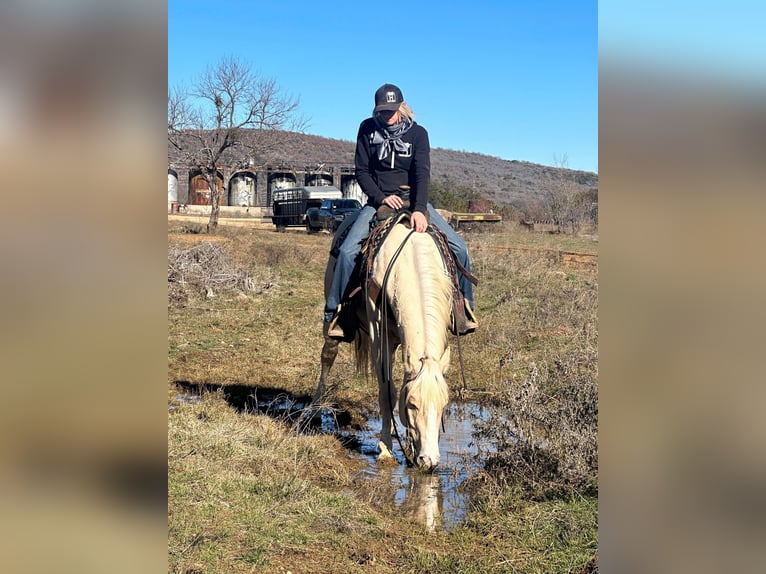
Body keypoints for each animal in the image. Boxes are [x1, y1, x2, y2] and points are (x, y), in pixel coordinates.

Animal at [314, 218, 452, 474]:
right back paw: (316, 409)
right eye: (412, 405)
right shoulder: (379, 335)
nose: (428, 461)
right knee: (328, 355)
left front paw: (409, 446)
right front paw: (386, 449)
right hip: (332, 318)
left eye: (444, 405)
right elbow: (388, 390)